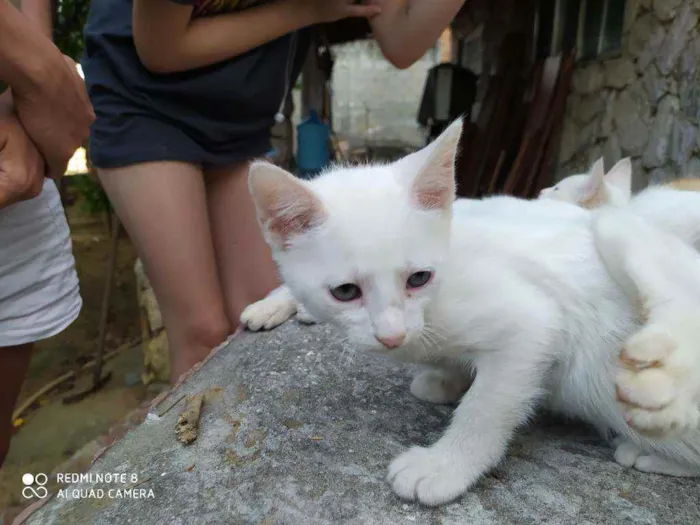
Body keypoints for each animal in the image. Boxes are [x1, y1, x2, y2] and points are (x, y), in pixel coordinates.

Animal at [245, 121, 700, 506]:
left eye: (419, 278)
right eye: (345, 292)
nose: (391, 335)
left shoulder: (534, 325)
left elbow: (488, 406)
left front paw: (445, 466)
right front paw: (448, 379)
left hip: (612, 228)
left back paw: (658, 401)